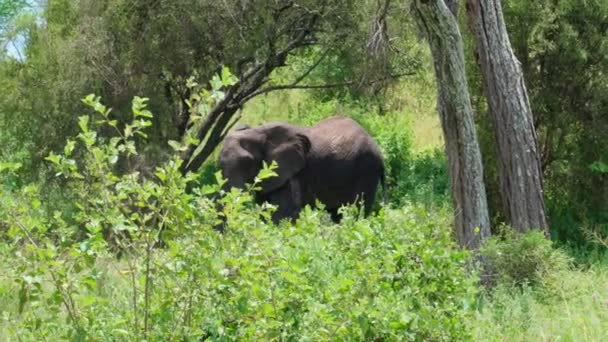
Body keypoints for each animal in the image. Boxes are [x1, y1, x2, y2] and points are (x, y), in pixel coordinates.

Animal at [217, 116, 384, 224]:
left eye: (247, 162)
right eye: (219, 164)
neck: (256, 133)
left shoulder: (291, 173)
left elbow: (283, 214)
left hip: (366, 169)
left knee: (356, 211)